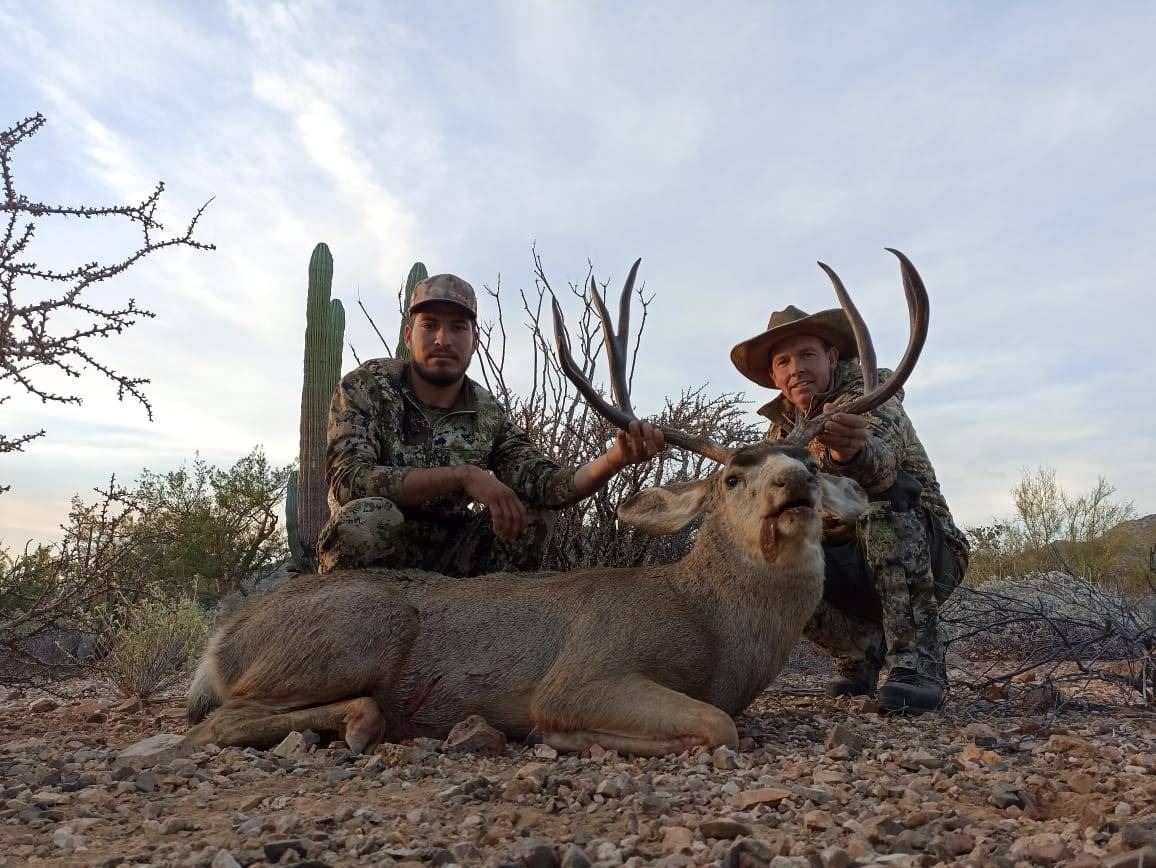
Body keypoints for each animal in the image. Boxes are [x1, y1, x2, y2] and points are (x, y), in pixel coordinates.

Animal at [184, 249, 929, 757]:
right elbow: (715, 725)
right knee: (219, 721)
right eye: (730, 480)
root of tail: (221, 639)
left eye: (813, 465)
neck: (713, 627)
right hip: (359, 632)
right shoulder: (585, 671)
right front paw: (564, 737)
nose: (793, 484)